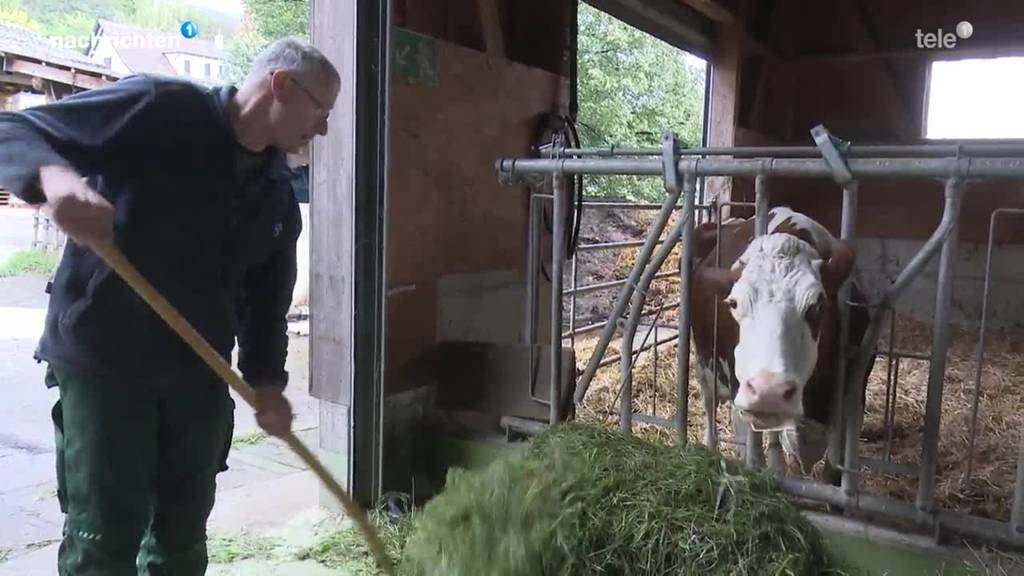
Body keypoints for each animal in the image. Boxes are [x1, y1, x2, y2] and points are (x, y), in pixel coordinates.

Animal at [688, 203, 872, 473]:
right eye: (733, 303)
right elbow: (754, 457)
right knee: (709, 401)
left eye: (818, 306)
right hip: (704, 361)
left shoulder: (854, 397)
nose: (769, 392)